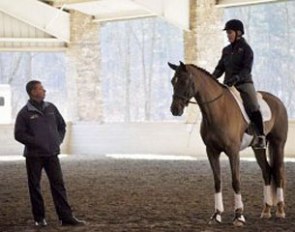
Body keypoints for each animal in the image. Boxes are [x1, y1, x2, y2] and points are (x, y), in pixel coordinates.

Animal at [169, 61, 290, 227]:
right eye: (172, 82)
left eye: (184, 81)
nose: (175, 110)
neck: (218, 110)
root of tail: (278, 101)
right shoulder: (211, 151)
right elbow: (217, 181)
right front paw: (216, 215)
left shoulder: (233, 152)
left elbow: (236, 181)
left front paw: (238, 216)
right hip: (258, 148)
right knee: (267, 172)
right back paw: (266, 211)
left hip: (278, 144)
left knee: (278, 173)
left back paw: (280, 211)